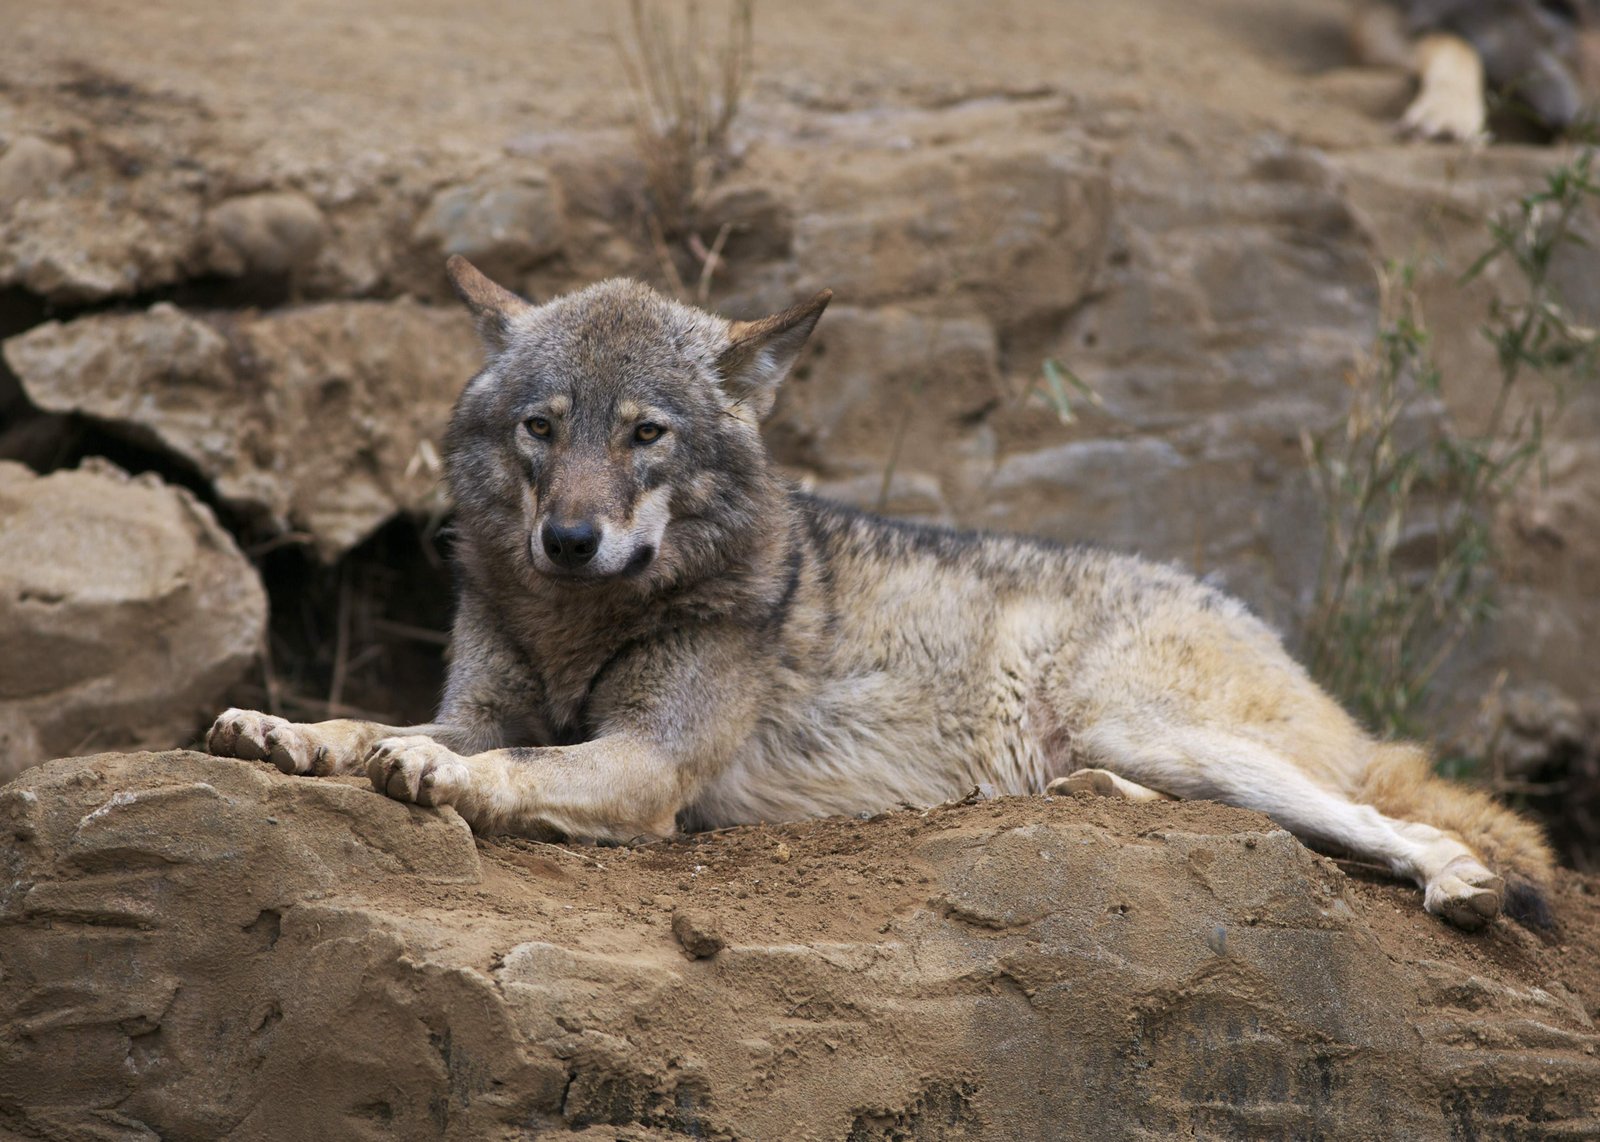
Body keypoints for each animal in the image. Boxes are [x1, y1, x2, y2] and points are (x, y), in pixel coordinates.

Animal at [207, 255, 1555, 931]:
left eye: (644, 433)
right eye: (542, 427)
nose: (570, 538)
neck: (578, 621)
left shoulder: (647, 763)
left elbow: (501, 764)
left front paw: (429, 773)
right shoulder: (484, 698)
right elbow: (368, 722)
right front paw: (281, 728)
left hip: (1152, 722)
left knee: (1387, 819)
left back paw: (1460, 885)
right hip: (1140, 748)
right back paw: (1090, 801)